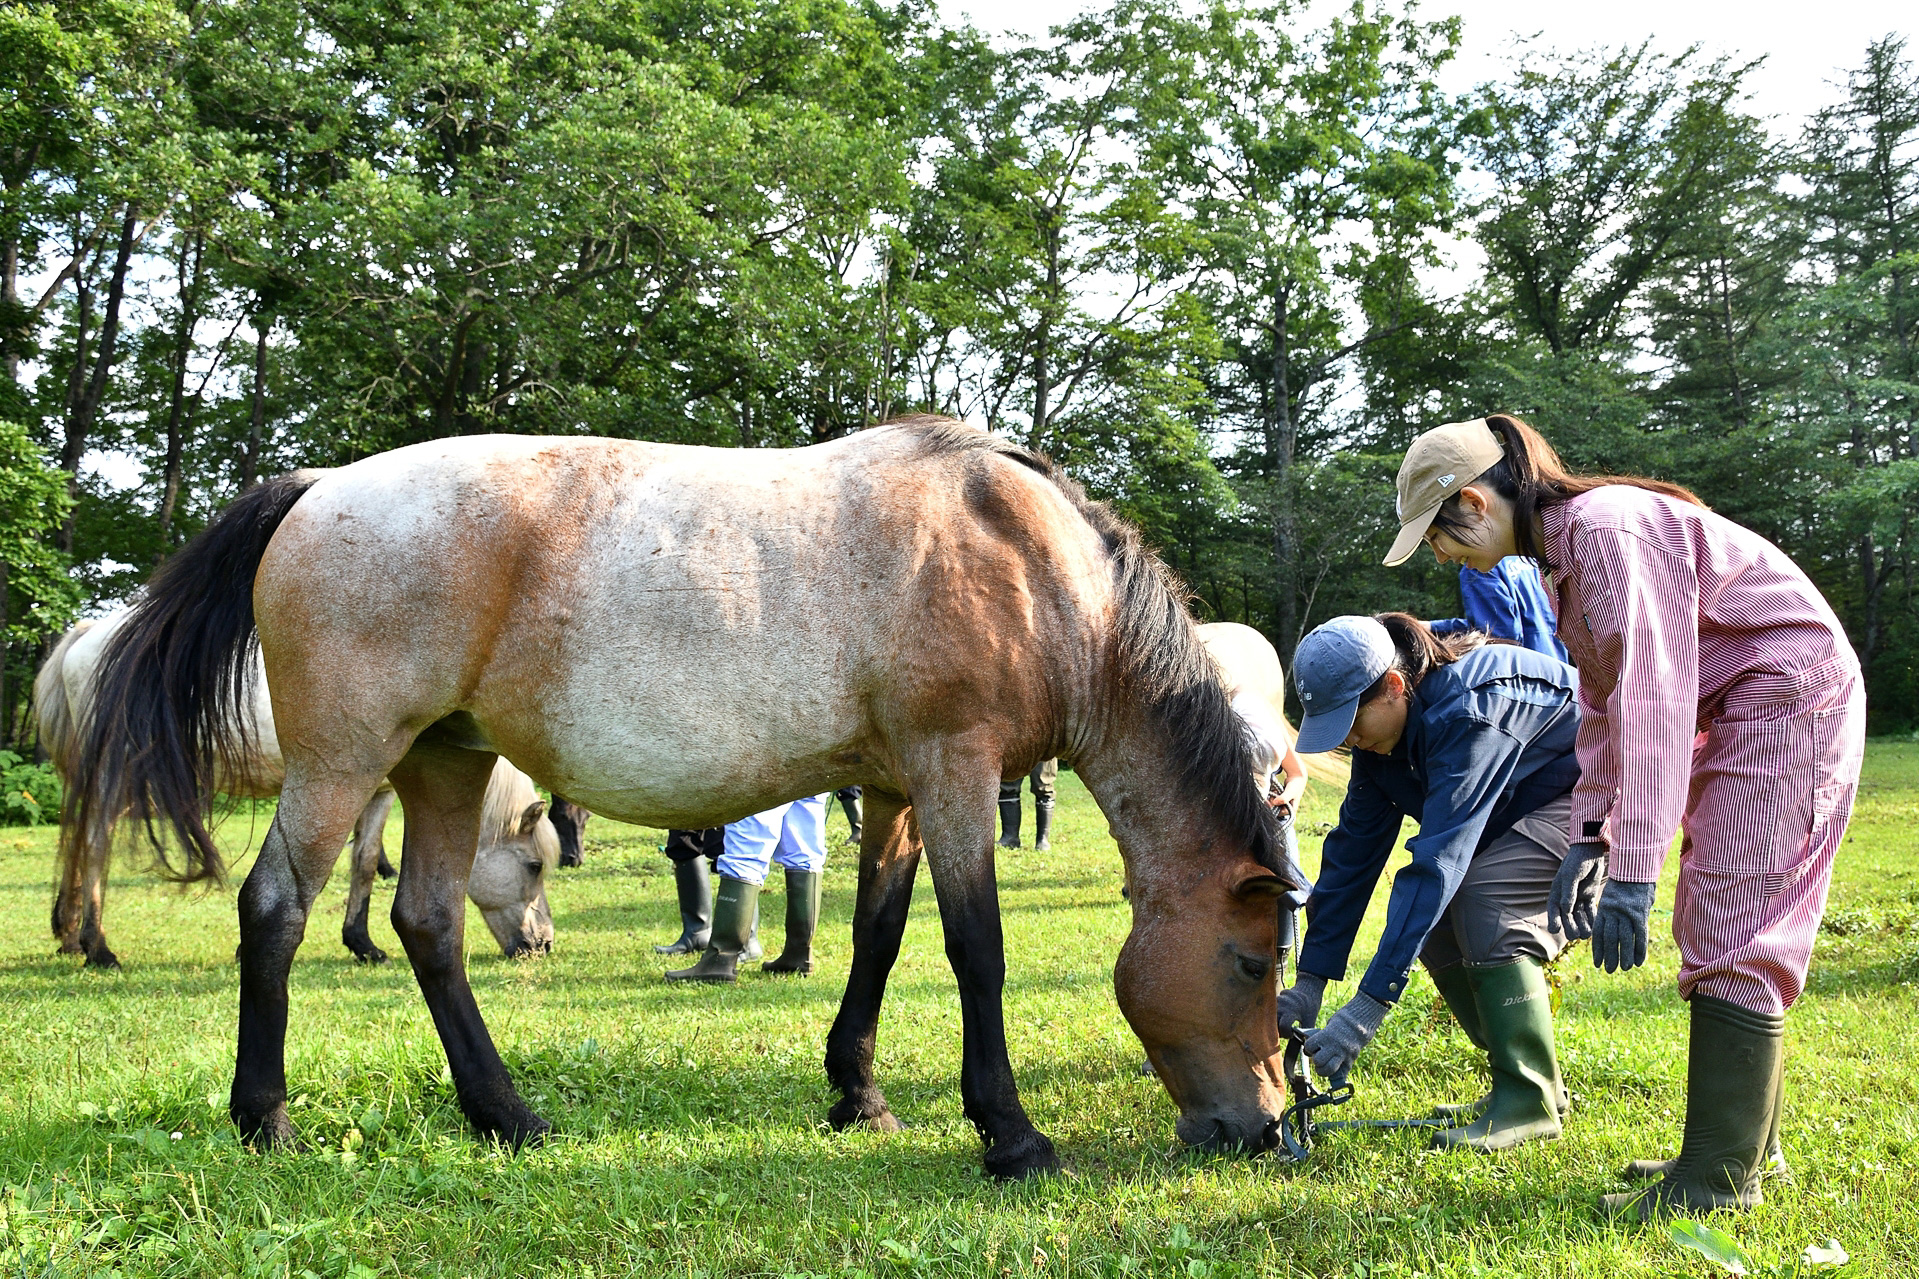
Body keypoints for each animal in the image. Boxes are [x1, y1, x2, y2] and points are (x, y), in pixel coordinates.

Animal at [36, 612, 559, 969]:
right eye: (534, 866)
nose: (544, 944)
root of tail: (88, 634)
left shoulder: (378, 794)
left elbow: (364, 862)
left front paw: (361, 943)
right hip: (114, 780)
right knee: (94, 845)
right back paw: (98, 947)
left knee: (75, 843)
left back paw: (68, 936)